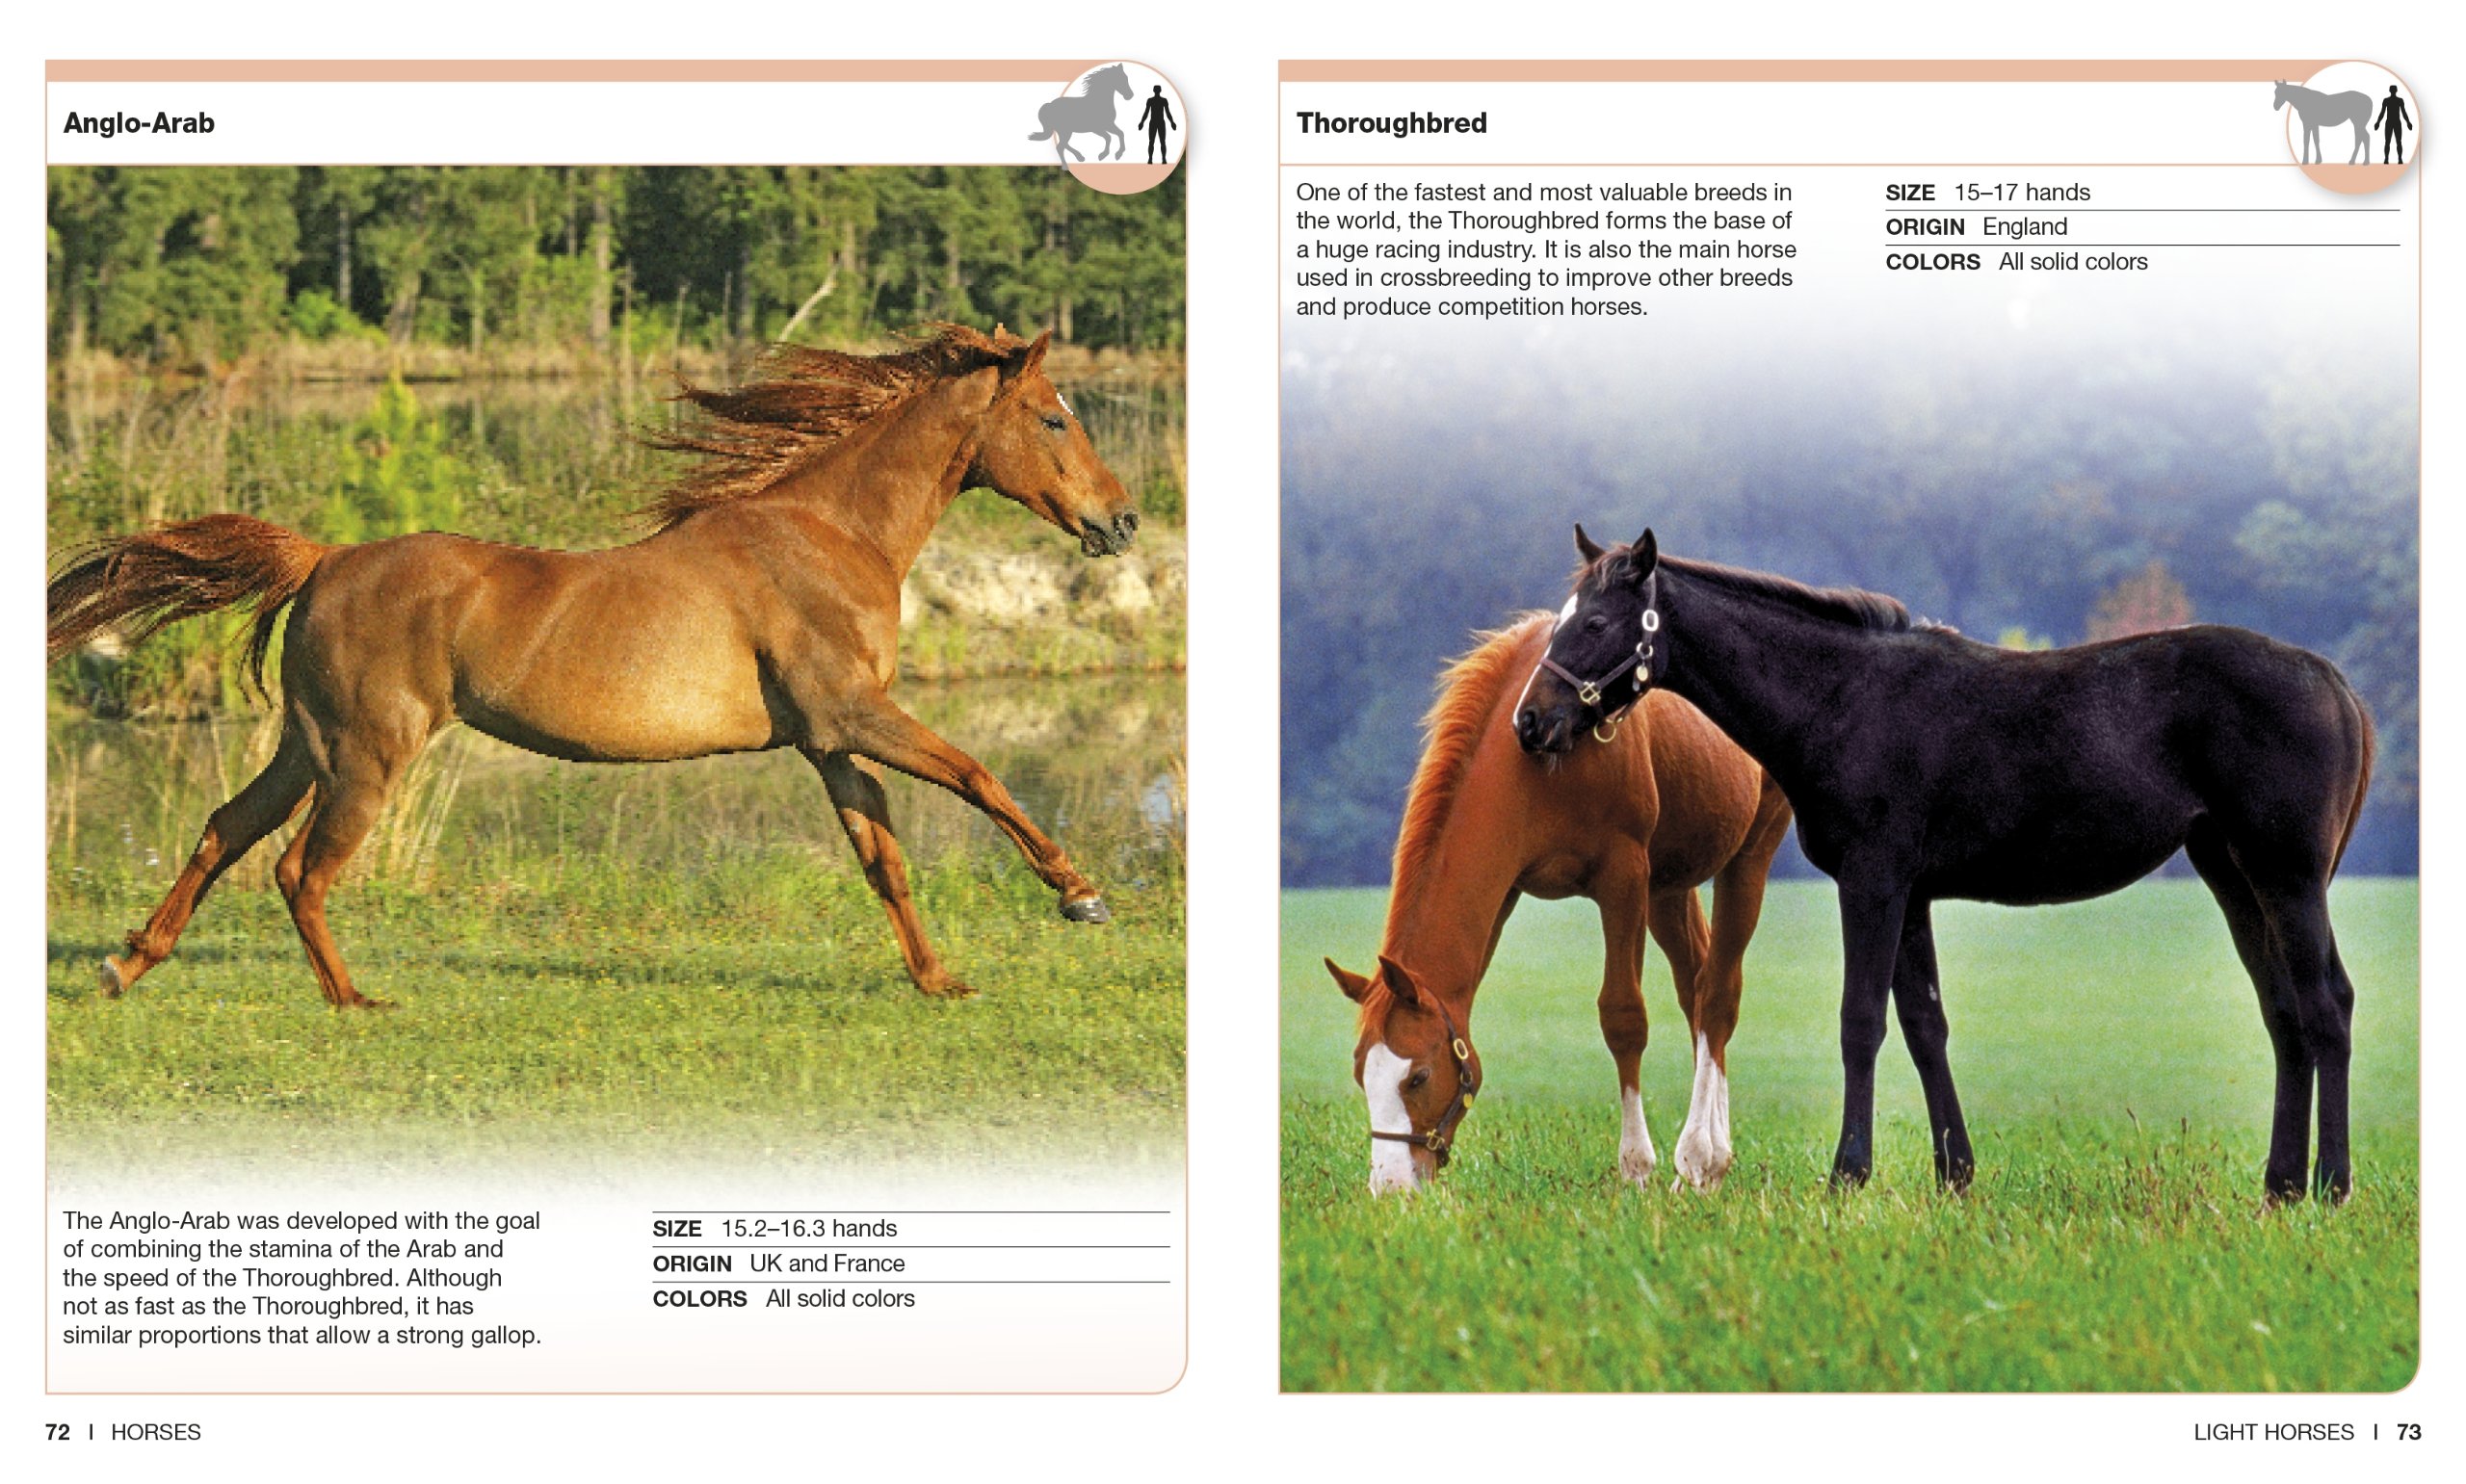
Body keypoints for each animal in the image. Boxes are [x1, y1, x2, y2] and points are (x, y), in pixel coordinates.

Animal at [46, 325, 1141, 1010]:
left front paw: (937, 979)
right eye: (1053, 415)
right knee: (299, 868)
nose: (1122, 519)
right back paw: (353, 998)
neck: (829, 533)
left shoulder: (829, 741)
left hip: (305, 745)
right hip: (366, 753)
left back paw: (123, 965)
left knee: (227, 829)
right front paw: (1080, 894)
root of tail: (322, 557)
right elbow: (980, 776)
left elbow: (885, 858)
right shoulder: (856, 714)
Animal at [1324, 615, 1792, 1195]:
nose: (1391, 1186)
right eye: (1361, 1073)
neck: (1537, 761)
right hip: (1669, 886)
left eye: (1419, 1077)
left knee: (1720, 996)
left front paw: (1636, 1167)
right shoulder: (1506, 888)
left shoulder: (1623, 878)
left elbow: (1624, 1017)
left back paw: (1703, 1153)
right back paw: (1703, 1166)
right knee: (1698, 989)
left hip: (1749, 855)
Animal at [1518, 528, 2376, 1203]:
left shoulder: (1874, 881)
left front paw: (1849, 1173)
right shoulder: (1914, 893)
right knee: (2284, 1012)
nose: (1531, 722)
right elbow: (1925, 1023)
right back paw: (2279, 1184)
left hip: (2288, 878)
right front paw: (1954, 1174)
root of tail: (2337, 685)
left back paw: (2330, 1185)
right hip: (2235, 876)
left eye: (1595, 621)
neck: (1841, 697)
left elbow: (1861, 1021)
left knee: (2327, 1004)